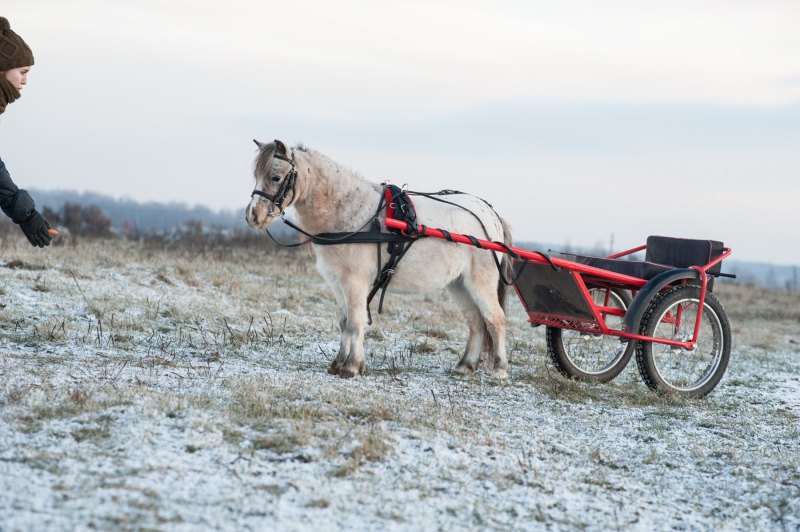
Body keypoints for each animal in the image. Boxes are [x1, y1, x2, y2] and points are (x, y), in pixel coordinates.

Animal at [244, 139, 512, 380]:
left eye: (275, 177)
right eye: (256, 176)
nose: (253, 216)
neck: (348, 211)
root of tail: (490, 214)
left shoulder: (355, 282)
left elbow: (355, 321)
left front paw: (352, 367)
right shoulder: (337, 282)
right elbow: (344, 321)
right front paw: (338, 363)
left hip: (480, 282)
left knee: (495, 319)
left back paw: (499, 370)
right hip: (458, 283)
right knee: (476, 321)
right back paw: (465, 366)